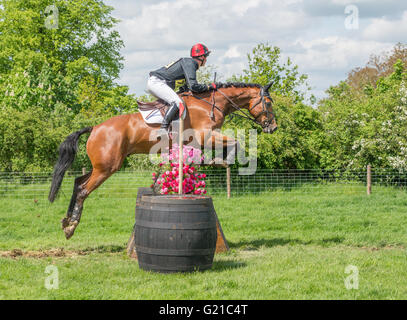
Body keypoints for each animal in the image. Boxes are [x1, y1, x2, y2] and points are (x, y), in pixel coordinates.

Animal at [47, 81, 278, 239]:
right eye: (268, 103)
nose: (273, 127)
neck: (213, 104)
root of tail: (95, 128)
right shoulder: (205, 135)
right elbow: (236, 143)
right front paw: (221, 161)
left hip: (101, 166)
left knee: (78, 182)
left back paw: (66, 221)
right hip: (107, 167)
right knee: (83, 190)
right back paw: (71, 226)